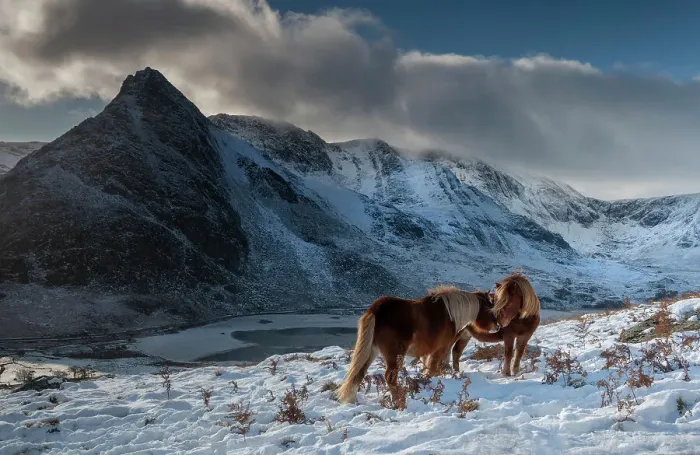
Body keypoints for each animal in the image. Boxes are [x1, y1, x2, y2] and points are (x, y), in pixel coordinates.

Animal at [336, 284, 523, 404]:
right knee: (389, 376)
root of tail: (376, 308)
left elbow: (432, 368)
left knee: (358, 373)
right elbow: (432, 369)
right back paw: (398, 400)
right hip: (394, 354)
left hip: (371, 351)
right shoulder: (440, 349)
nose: (498, 325)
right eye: (490, 307)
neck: (451, 314)